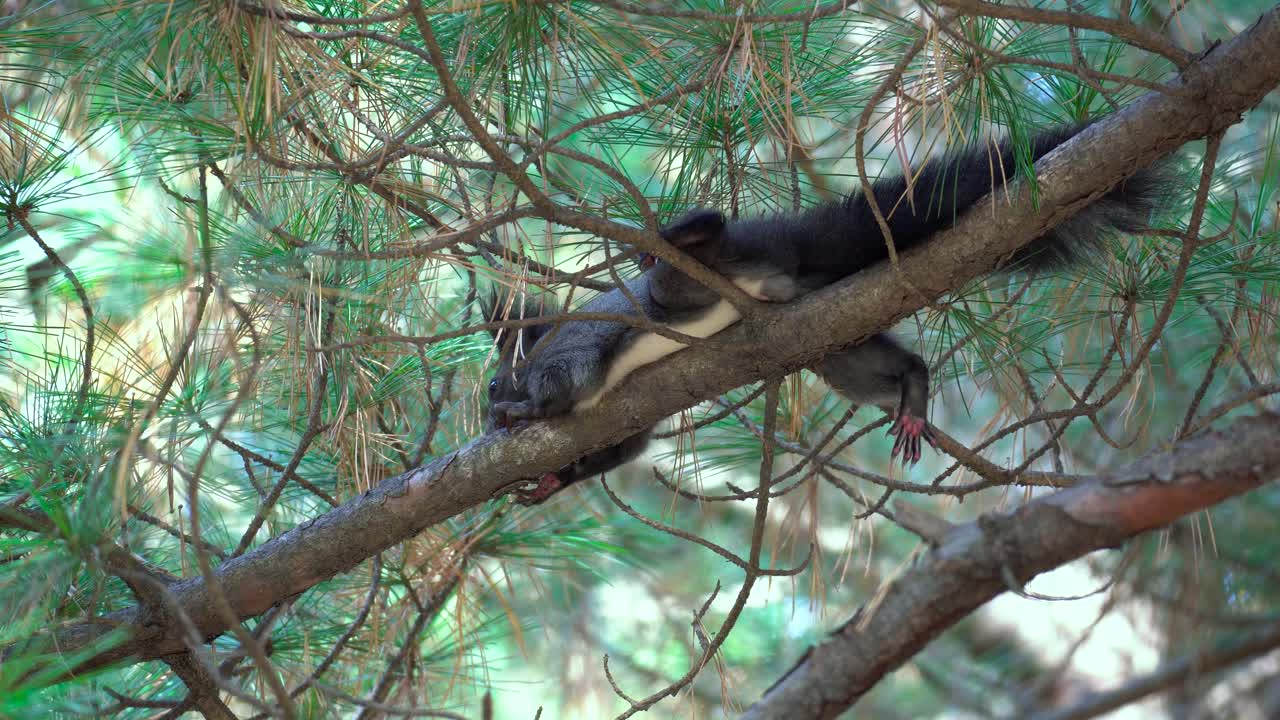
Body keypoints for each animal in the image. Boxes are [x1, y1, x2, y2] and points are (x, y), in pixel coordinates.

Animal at [485, 124, 1171, 504]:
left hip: (692, 283)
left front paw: (525, 413)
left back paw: (673, 233)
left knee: (704, 243)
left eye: (492, 382)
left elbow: (563, 387)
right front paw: (551, 482)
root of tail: (791, 259)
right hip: (836, 348)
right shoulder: (627, 427)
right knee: (894, 364)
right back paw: (914, 397)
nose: (491, 417)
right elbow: (619, 452)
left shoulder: (568, 357)